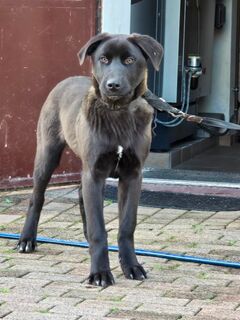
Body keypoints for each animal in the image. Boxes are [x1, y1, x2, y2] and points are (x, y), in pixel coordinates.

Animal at [17, 33, 163, 288]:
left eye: (130, 60)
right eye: (103, 59)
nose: (112, 85)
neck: (117, 112)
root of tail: (65, 81)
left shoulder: (132, 175)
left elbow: (127, 226)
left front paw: (131, 266)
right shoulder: (94, 173)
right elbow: (98, 229)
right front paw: (100, 272)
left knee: (80, 195)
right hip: (47, 154)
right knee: (37, 197)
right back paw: (27, 239)